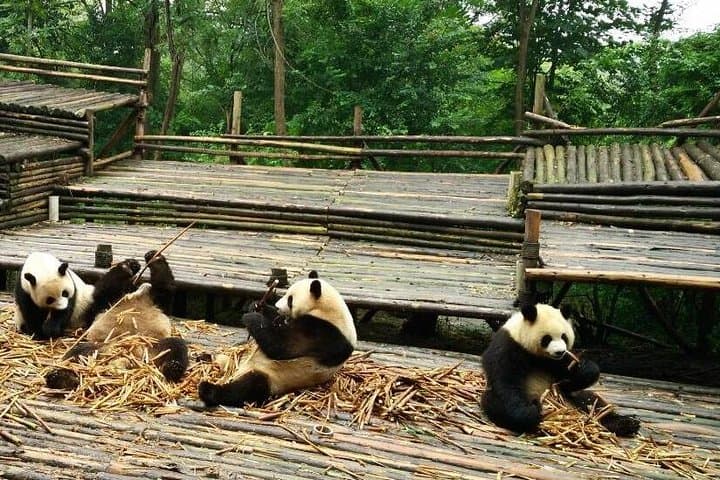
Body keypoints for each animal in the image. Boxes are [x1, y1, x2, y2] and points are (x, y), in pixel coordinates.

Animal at [44, 251, 189, 389]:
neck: (137, 297)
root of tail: (128, 356)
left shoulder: (158, 302)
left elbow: (165, 288)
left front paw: (154, 258)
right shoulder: (107, 303)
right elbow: (103, 291)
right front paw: (129, 265)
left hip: (152, 347)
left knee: (175, 346)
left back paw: (173, 368)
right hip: (101, 348)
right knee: (76, 354)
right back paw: (62, 377)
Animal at [198, 271, 356, 407]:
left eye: (290, 300)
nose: (278, 306)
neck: (327, 310)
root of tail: (235, 373)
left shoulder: (323, 333)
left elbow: (282, 346)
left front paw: (252, 317)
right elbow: (276, 323)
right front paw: (257, 306)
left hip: (272, 377)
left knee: (248, 386)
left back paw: (208, 390)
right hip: (235, 360)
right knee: (224, 358)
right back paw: (204, 358)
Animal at [481, 303, 639, 437]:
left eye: (564, 336)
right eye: (547, 338)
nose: (560, 351)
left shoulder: (559, 362)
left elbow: (569, 379)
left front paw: (586, 369)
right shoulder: (509, 346)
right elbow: (506, 381)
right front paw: (531, 412)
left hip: (575, 398)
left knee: (594, 402)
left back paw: (627, 424)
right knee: (494, 403)